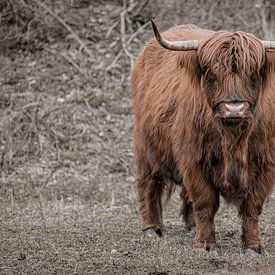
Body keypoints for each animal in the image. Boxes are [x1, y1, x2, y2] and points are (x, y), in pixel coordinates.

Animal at [130, 20, 275, 254]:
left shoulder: (265, 162)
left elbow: (253, 206)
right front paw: (205, 244)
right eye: (211, 73)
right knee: (149, 182)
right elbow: (205, 201)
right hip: (146, 145)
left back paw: (190, 226)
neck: (233, 139)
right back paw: (152, 227)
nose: (234, 108)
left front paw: (253, 246)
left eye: (253, 73)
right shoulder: (193, 159)